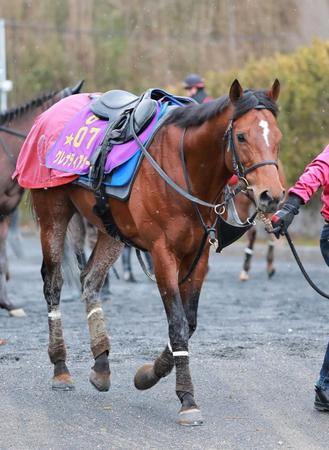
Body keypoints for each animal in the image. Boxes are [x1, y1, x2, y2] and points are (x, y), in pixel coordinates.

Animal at [25, 80, 284, 426]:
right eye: (241, 136)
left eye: (277, 137)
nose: (272, 195)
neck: (185, 167)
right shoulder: (163, 255)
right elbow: (177, 324)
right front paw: (187, 398)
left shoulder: (198, 256)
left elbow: (189, 323)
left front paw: (149, 373)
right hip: (52, 210)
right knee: (53, 283)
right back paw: (61, 367)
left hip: (110, 229)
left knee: (90, 280)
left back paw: (101, 363)